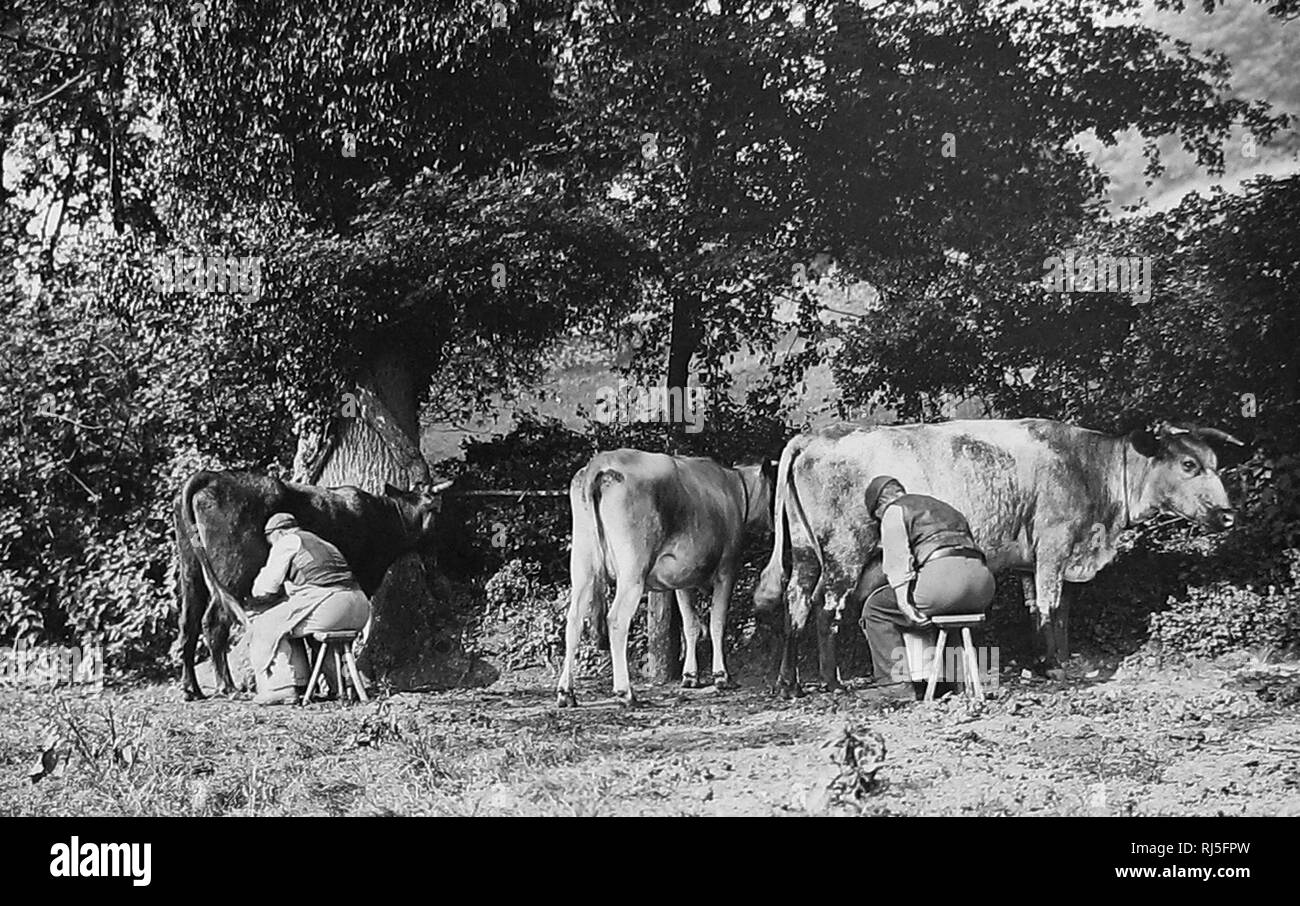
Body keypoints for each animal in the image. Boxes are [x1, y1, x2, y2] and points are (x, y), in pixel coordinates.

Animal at [175, 470, 452, 696]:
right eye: (437, 511)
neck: (386, 519)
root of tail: (211, 476)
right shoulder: (361, 578)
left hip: (191, 570)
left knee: (188, 624)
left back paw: (191, 689)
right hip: (232, 570)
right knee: (213, 621)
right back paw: (227, 687)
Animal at [556, 449, 774, 701]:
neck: (735, 491)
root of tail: (601, 461)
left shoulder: (683, 578)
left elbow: (691, 625)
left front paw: (690, 676)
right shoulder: (727, 570)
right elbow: (717, 623)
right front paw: (721, 676)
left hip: (583, 564)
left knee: (574, 620)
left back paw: (566, 692)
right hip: (632, 572)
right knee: (616, 620)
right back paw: (625, 692)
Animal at [759, 415, 1242, 691]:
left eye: (1216, 464)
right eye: (1188, 465)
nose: (1228, 514)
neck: (1089, 468)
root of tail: (816, 436)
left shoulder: (1039, 557)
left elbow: (1050, 609)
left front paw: (1051, 661)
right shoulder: (1054, 544)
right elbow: (1050, 606)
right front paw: (1055, 668)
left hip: (805, 550)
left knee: (796, 604)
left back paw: (789, 684)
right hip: (843, 550)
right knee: (826, 609)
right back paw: (831, 682)